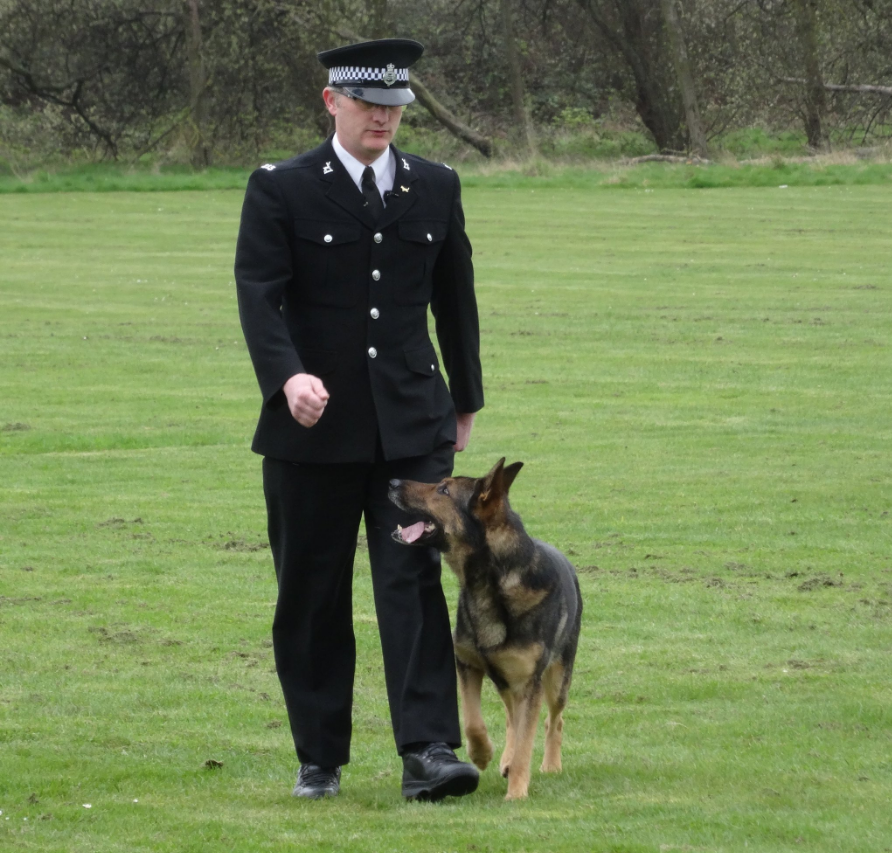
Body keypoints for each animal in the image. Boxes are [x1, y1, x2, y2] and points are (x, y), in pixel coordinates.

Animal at [386, 460, 580, 800]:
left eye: (443, 489)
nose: (392, 481)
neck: (492, 582)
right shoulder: (468, 665)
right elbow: (473, 721)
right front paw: (481, 754)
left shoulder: (529, 684)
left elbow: (526, 742)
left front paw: (516, 793)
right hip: (505, 680)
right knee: (512, 718)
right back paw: (505, 758)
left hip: (556, 680)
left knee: (553, 721)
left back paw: (550, 764)